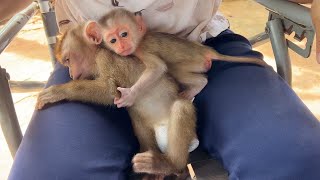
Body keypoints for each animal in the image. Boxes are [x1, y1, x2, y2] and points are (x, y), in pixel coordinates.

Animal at [95, 8, 270, 107]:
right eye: (113, 40)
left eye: (124, 34)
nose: (121, 46)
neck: (140, 38)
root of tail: (204, 50)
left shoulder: (142, 50)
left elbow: (158, 67)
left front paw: (130, 94)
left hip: (196, 62)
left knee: (177, 70)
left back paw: (198, 84)